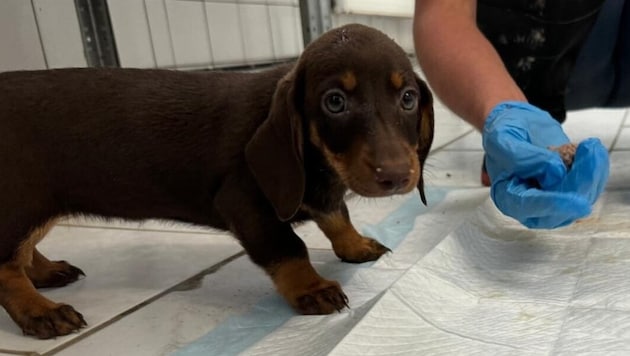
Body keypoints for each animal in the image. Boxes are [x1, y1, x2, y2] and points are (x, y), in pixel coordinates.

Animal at [0, 23, 434, 340]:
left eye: (408, 98)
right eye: (335, 102)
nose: (396, 176)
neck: (321, 163)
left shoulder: (321, 192)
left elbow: (336, 215)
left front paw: (355, 244)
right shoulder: (244, 203)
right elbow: (289, 247)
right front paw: (310, 288)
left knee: (23, 251)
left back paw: (45, 273)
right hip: (24, 197)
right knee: (6, 264)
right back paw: (39, 311)